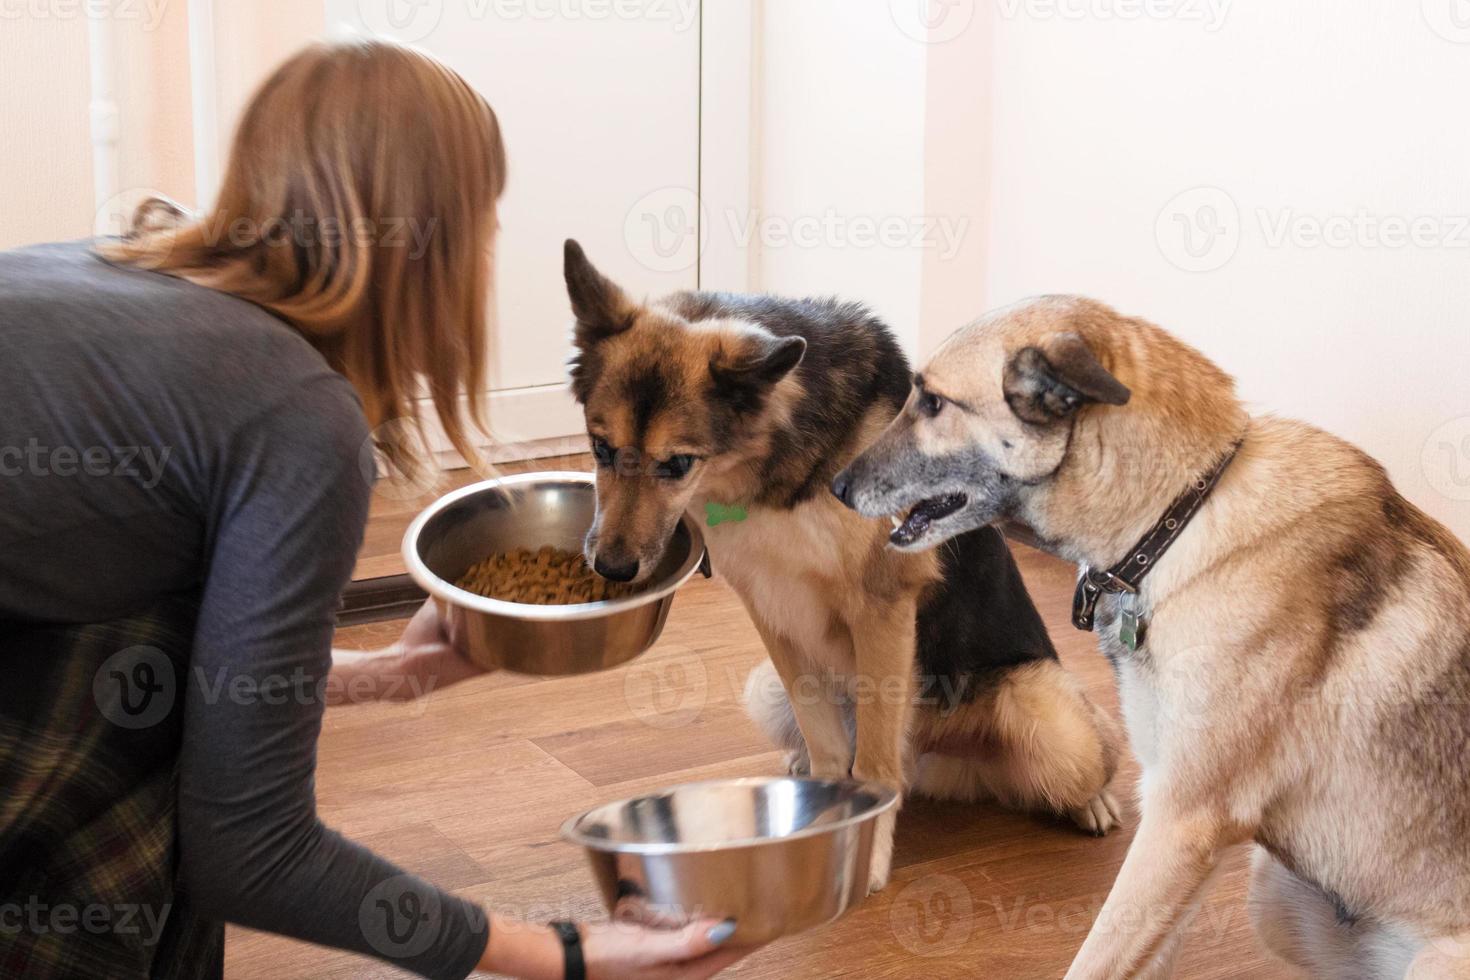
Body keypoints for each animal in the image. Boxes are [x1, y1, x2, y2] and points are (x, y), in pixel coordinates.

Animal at [834, 295, 1470, 975]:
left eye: (931, 403)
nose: (836, 487)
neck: (1181, 515)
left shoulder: (1180, 824)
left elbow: (1099, 955)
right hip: (1276, 893)